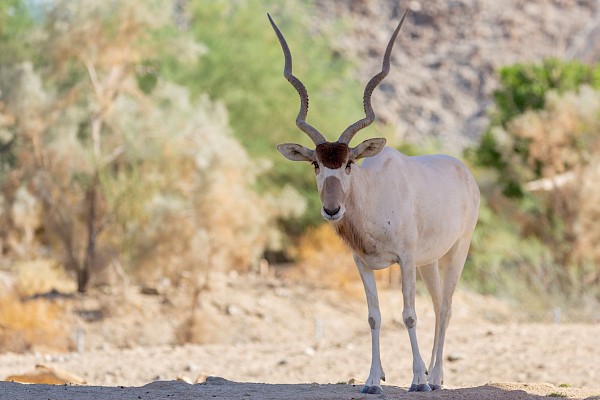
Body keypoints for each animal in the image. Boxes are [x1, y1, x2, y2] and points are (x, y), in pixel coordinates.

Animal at [270, 11, 480, 394]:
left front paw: (416, 381)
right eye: (315, 164)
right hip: (429, 261)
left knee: (445, 307)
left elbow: (409, 315)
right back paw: (434, 376)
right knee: (438, 303)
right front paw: (372, 380)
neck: (371, 195)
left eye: (349, 163)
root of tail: (463, 170)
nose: (332, 209)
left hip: (457, 250)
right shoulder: (363, 263)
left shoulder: (405, 259)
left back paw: (434, 378)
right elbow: (373, 316)